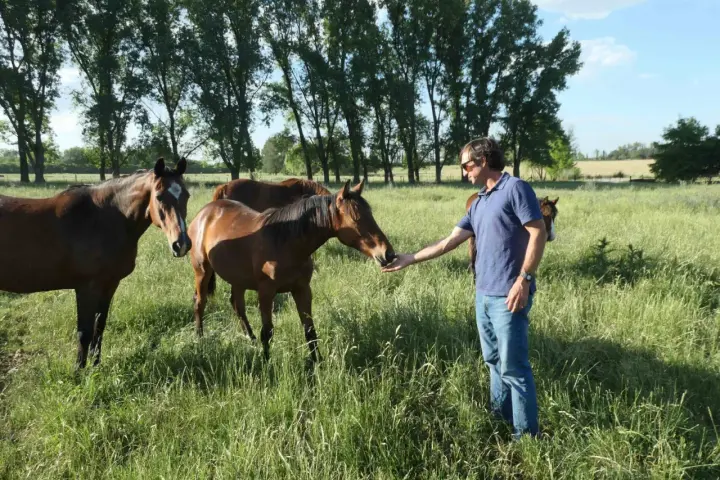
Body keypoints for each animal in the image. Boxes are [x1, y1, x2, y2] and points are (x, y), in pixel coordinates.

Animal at [0, 157, 192, 368]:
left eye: (187, 195)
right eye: (159, 197)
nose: (181, 244)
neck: (102, 219)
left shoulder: (109, 284)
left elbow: (99, 326)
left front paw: (95, 366)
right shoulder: (86, 288)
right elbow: (84, 332)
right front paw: (78, 370)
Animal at [187, 179, 395, 363]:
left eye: (371, 214)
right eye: (356, 218)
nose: (388, 254)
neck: (286, 243)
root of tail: (205, 213)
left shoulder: (302, 289)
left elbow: (309, 329)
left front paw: (317, 361)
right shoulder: (266, 292)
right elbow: (268, 331)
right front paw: (267, 363)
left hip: (237, 278)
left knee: (237, 305)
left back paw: (250, 339)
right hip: (202, 271)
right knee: (200, 302)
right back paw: (199, 338)